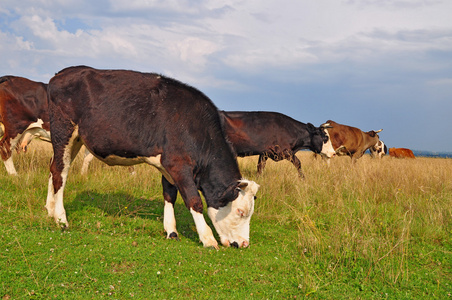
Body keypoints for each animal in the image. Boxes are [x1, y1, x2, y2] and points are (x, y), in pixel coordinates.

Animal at [45, 65, 260, 248]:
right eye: (241, 212)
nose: (244, 244)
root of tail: (61, 74)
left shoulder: (168, 166)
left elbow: (169, 195)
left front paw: (171, 231)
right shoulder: (178, 165)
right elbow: (194, 200)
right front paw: (207, 238)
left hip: (75, 139)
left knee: (55, 168)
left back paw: (49, 210)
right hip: (63, 131)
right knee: (60, 172)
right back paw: (61, 219)